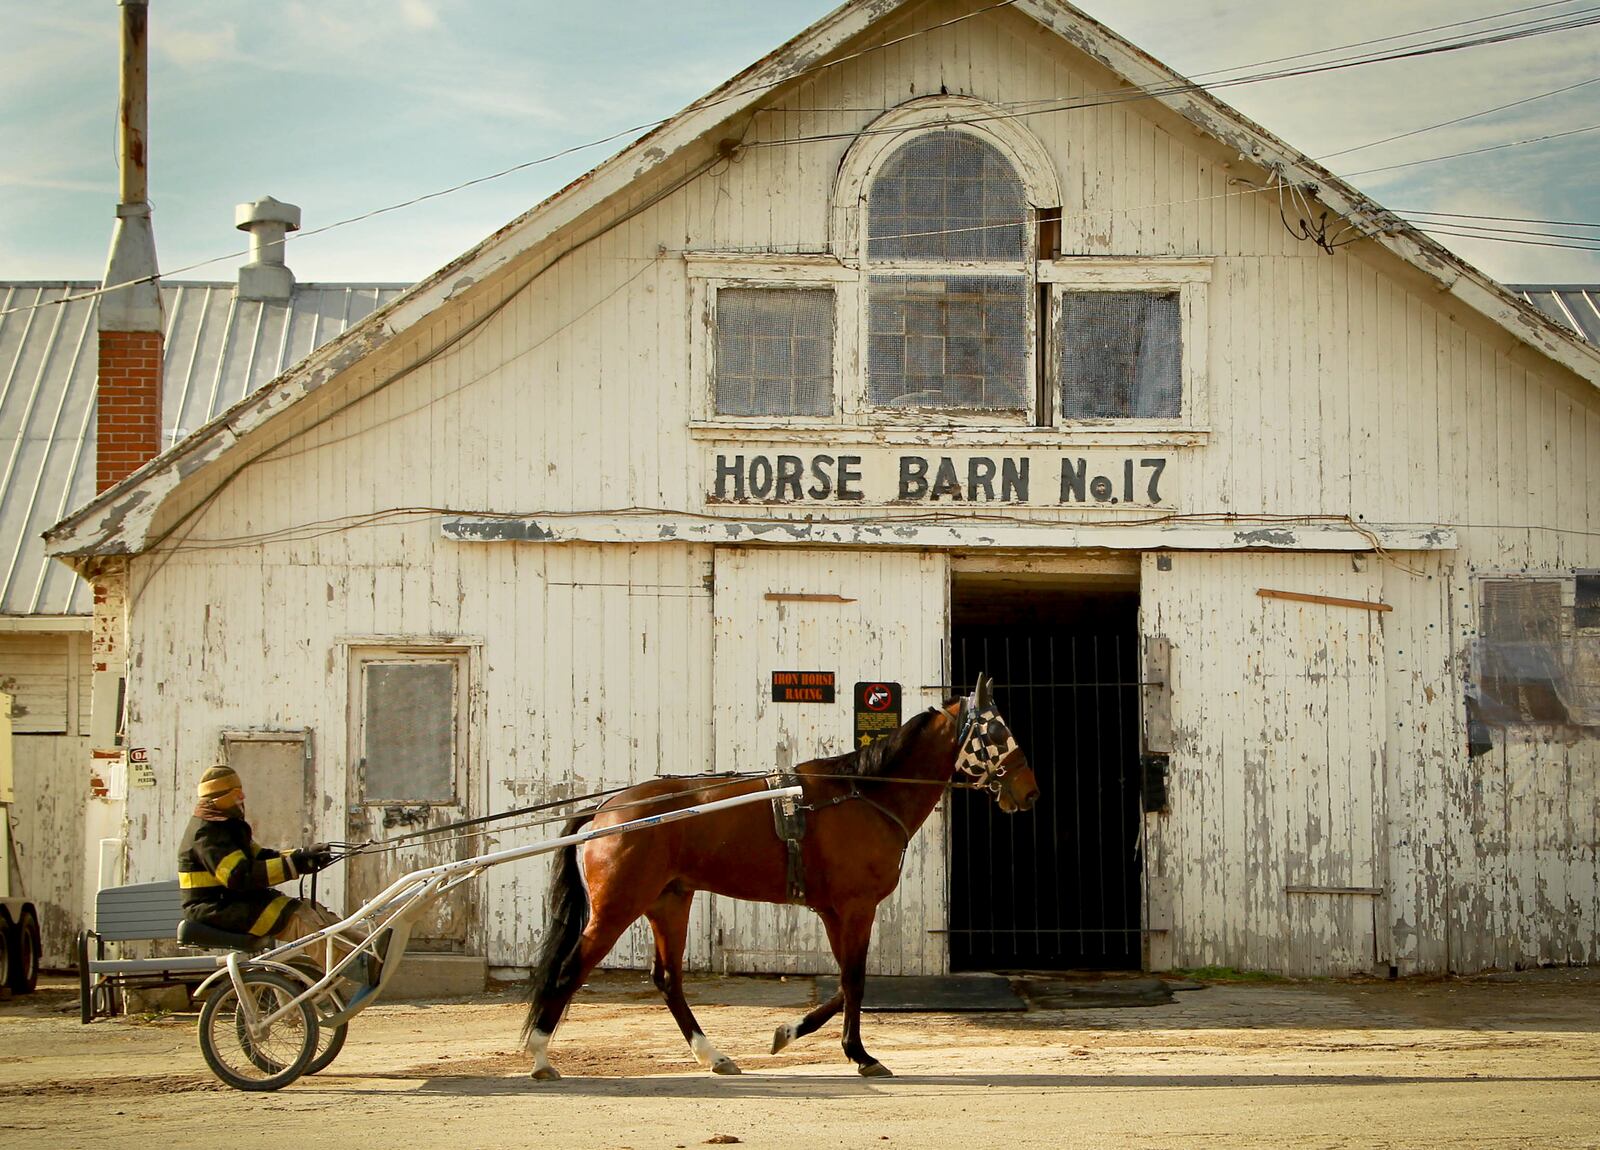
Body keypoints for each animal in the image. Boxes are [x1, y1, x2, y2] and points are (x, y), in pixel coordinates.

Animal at [524, 674, 1036, 1081]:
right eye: (997, 730)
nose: (1029, 791)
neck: (863, 795)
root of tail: (607, 811)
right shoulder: (856, 907)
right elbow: (854, 979)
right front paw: (860, 1054)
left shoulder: (833, 911)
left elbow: (846, 982)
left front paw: (790, 1032)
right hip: (618, 907)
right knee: (571, 969)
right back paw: (540, 1056)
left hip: (668, 901)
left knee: (668, 979)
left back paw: (713, 1055)